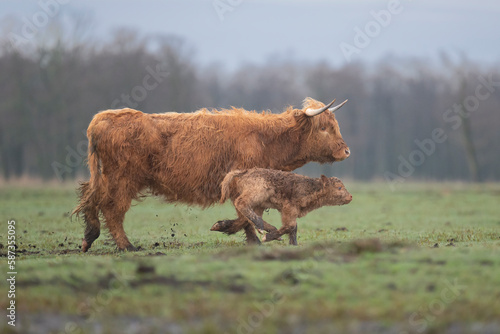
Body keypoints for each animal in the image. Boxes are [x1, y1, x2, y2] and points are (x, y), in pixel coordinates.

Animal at [213, 170, 354, 245]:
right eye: (339, 187)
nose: (351, 196)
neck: (310, 187)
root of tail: (244, 172)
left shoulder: (291, 212)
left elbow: (293, 228)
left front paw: (293, 244)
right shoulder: (289, 209)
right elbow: (291, 226)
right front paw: (267, 238)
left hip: (259, 205)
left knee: (246, 218)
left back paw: (220, 225)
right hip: (256, 195)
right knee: (241, 204)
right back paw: (262, 228)